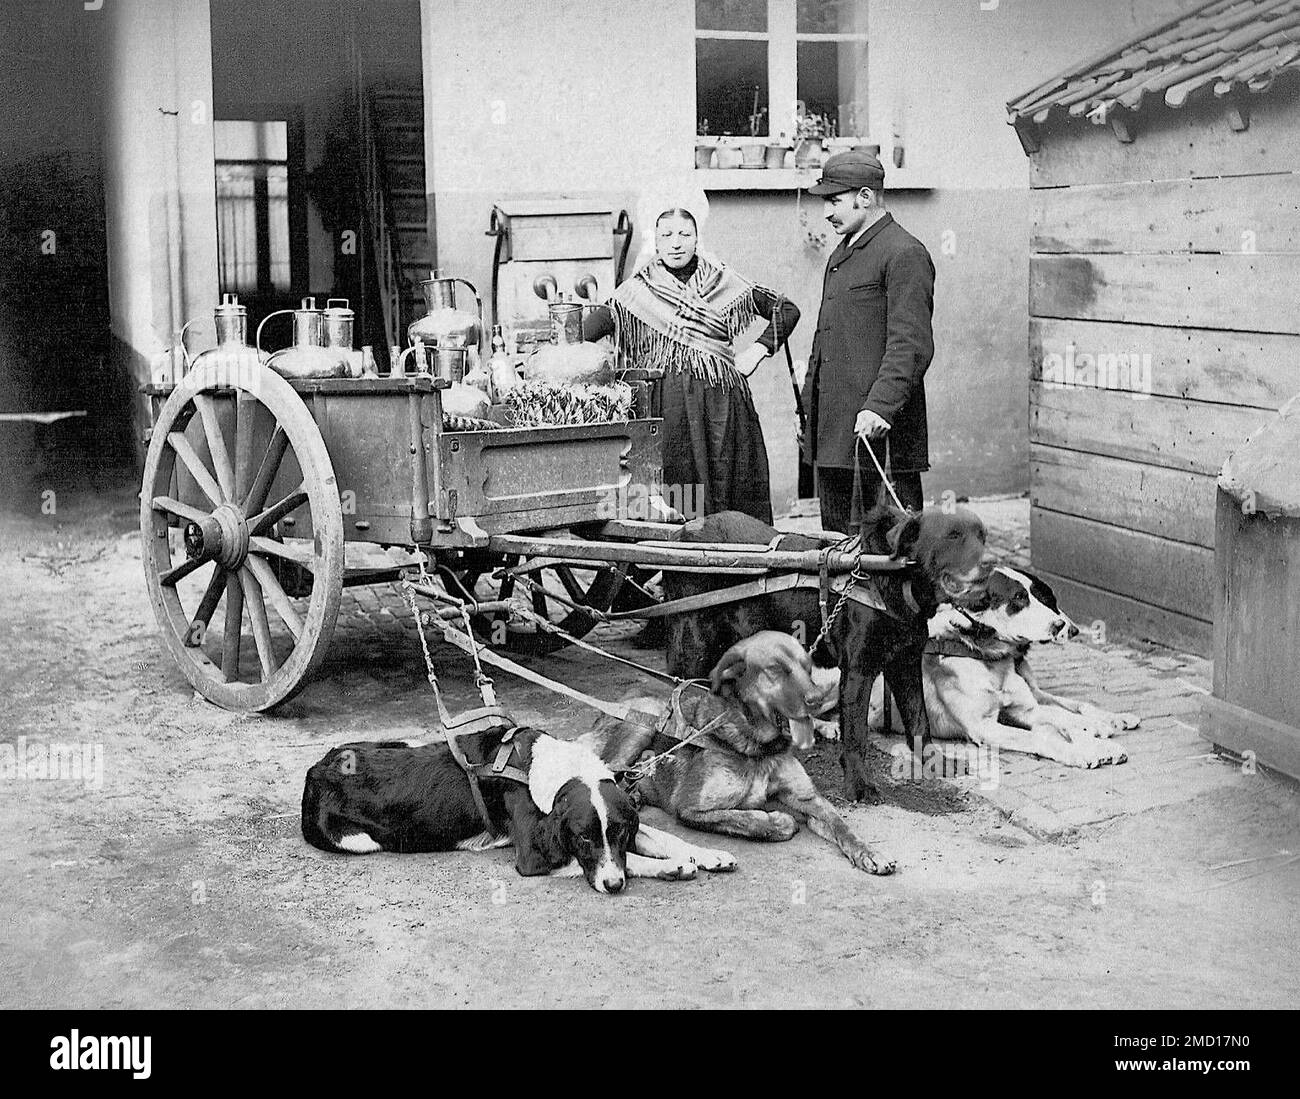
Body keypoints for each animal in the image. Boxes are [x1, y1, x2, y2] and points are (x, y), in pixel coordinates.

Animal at [297, 717, 738, 889]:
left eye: (617, 832)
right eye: (582, 838)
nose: (612, 887)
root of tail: (318, 769)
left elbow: (662, 837)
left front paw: (709, 854)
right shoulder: (534, 856)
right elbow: (634, 860)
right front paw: (674, 867)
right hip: (356, 840)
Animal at [587, 629, 899, 868]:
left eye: (807, 667)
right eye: (775, 670)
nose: (817, 699)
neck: (758, 748)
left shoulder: (809, 798)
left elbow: (841, 825)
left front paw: (869, 852)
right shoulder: (690, 807)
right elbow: (745, 820)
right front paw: (777, 820)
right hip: (642, 725)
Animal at [665, 504, 977, 795]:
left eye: (980, 536)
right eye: (951, 537)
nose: (985, 568)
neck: (890, 575)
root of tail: (681, 533)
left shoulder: (905, 664)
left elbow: (919, 721)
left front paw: (936, 761)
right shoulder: (857, 672)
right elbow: (857, 734)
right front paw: (859, 785)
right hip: (693, 645)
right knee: (681, 691)